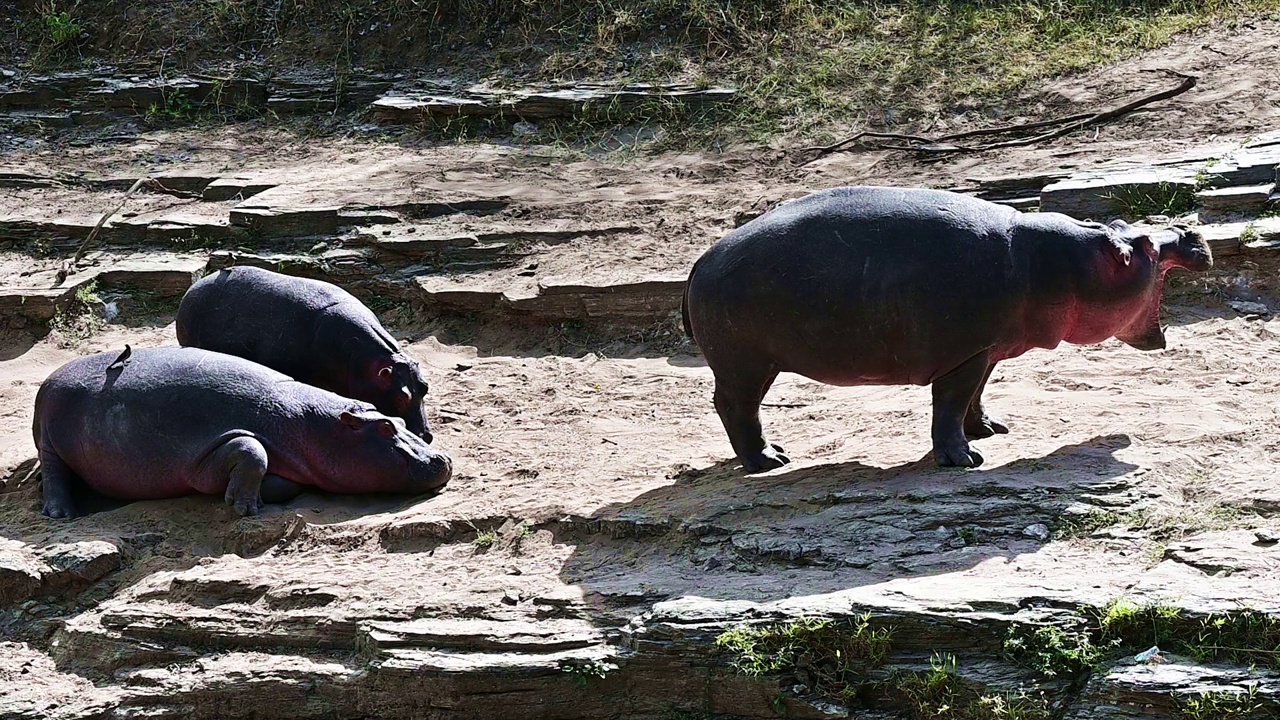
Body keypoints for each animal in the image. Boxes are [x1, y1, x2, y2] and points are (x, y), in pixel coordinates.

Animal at [32, 343, 455, 515]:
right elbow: (251, 450)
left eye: (396, 421)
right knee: (54, 475)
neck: (312, 424)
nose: (443, 459)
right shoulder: (209, 450)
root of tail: (49, 379)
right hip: (50, 442)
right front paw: (244, 507)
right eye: (383, 428)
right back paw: (61, 514)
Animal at [680, 183, 1208, 471]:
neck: (1067, 265)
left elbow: (975, 396)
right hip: (745, 363)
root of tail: (699, 262)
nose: (1189, 229)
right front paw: (965, 460)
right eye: (1144, 246)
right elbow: (950, 405)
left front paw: (990, 430)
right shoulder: (965, 355)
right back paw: (769, 461)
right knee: (735, 407)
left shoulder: (986, 351)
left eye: (1123, 225)